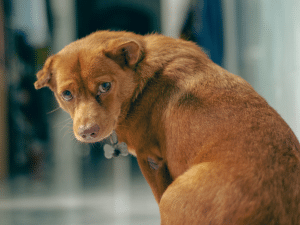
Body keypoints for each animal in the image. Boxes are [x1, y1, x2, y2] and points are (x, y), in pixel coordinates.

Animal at [35, 30, 300, 224]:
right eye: (67, 94)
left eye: (105, 86)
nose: (87, 132)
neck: (140, 77)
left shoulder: (151, 160)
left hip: (173, 196)